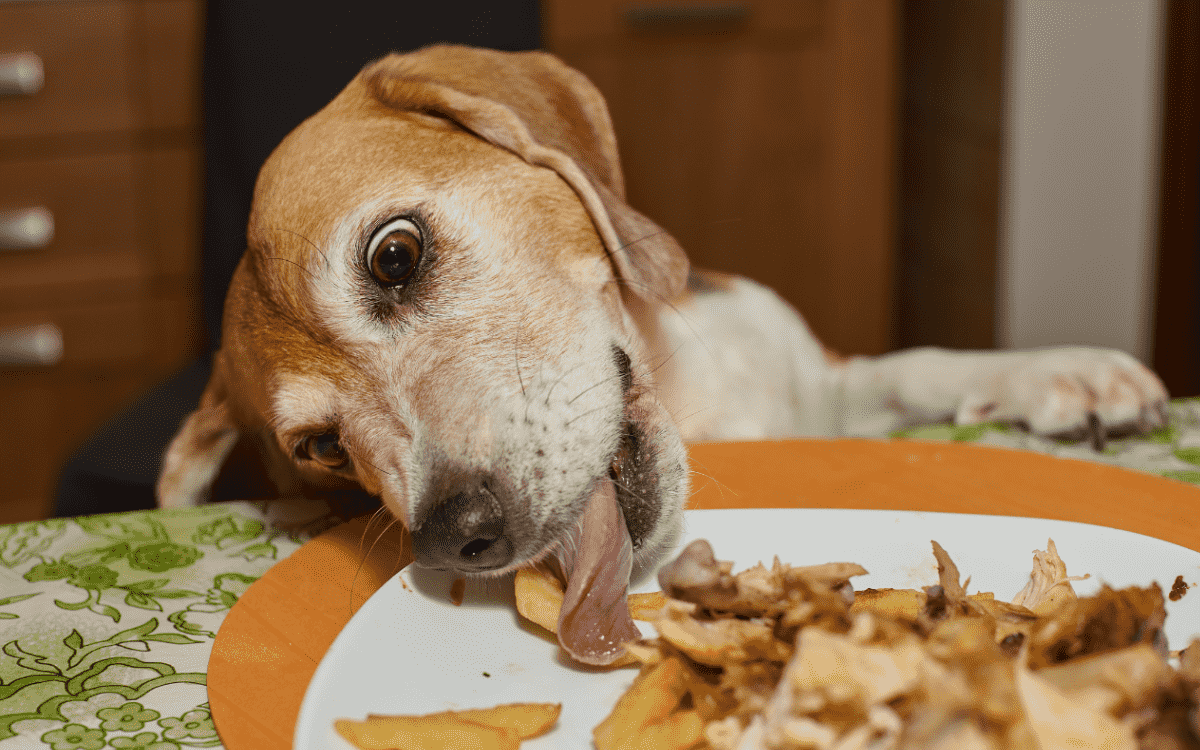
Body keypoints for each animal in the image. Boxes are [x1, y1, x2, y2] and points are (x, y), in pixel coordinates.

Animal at [152, 45, 1171, 590]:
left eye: (393, 257)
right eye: (321, 449)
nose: (457, 536)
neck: (695, 402)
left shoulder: (824, 383)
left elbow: (920, 363)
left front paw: (1066, 373)